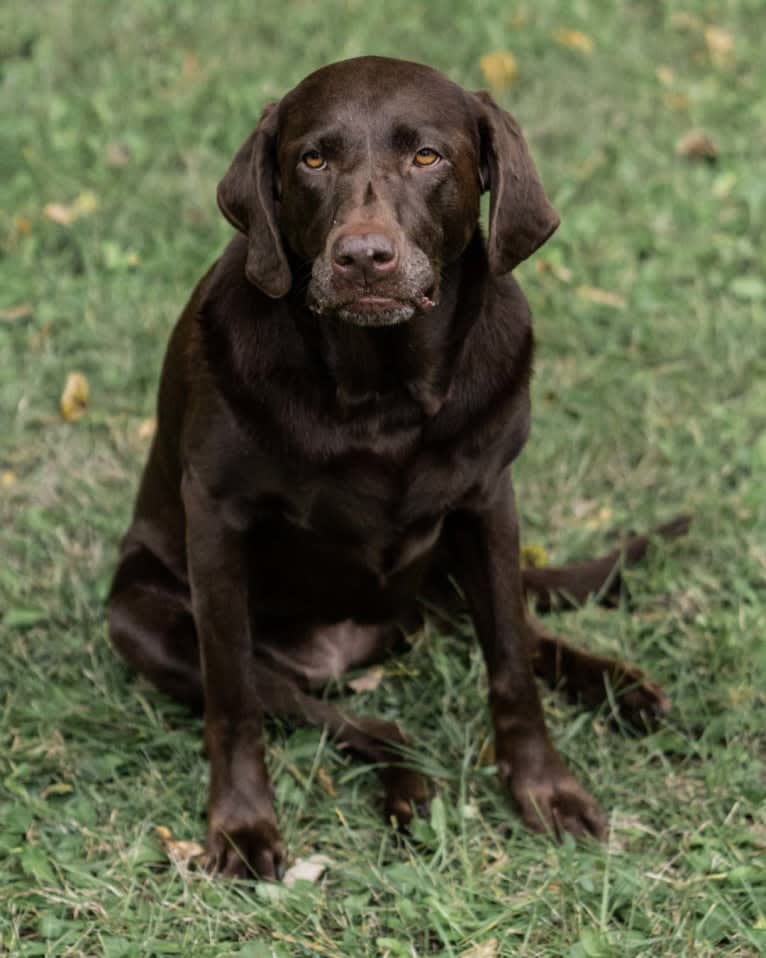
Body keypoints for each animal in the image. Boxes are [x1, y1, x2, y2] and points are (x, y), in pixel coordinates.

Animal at [109, 56, 688, 880]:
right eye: (312, 159)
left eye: (427, 156)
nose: (362, 258)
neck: (382, 391)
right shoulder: (216, 525)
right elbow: (234, 701)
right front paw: (241, 824)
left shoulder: (488, 502)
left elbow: (510, 662)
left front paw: (544, 789)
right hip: (144, 621)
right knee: (353, 719)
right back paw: (406, 787)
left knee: (510, 628)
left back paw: (617, 685)